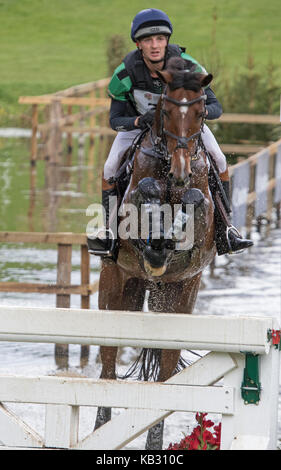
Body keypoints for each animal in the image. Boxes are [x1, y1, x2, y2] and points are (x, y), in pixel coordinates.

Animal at [93, 57, 214, 450]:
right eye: (165, 110)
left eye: (201, 111)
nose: (180, 172)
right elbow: (144, 190)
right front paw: (157, 245)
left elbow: (194, 201)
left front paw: (169, 236)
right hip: (117, 289)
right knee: (107, 370)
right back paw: (101, 429)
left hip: (181, 297)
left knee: (165, 376)